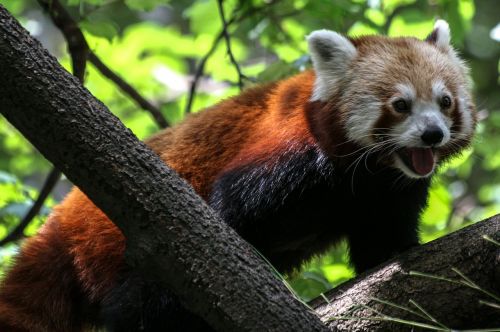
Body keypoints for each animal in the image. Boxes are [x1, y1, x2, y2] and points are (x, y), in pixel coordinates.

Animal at [0, 20, 476, 332]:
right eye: (400, 105)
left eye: (445, 101)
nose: (432, 135)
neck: (362, 174)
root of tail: (61, 222)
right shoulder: (287, 154)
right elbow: (228, 215)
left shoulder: (386, 194)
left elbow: (383, 242)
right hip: (116, 243)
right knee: (143, 296)